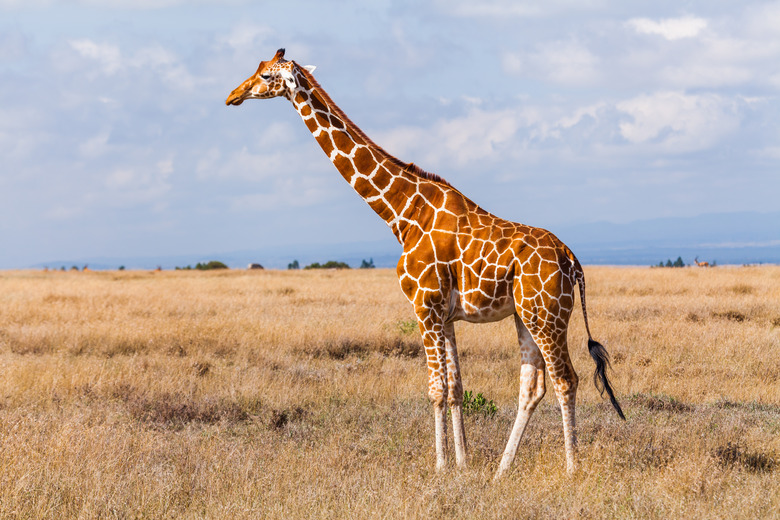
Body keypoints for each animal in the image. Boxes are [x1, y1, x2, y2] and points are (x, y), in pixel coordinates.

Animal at [222, 49, 624, 480]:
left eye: (266, 75)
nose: (233, 95)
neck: (401, 212)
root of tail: (573, 261)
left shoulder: (423, 305)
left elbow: (435, 389)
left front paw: (441, 466)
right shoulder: (445, 315)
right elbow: (456, 388)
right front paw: (463, 463)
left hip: (547, 314)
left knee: (567, 379)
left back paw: (571, 467)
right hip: (526, 314)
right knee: (533, 387)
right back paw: (502, 469)